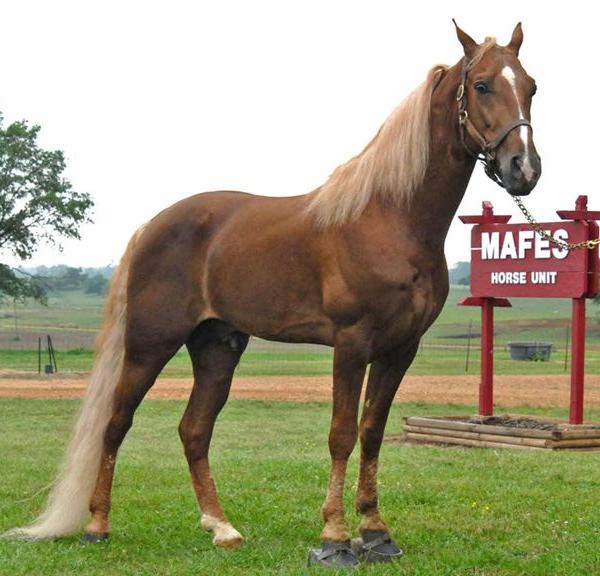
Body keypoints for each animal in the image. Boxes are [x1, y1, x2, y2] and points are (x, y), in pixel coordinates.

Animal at [5, 21, 540, 568]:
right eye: (481, 86)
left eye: (531, 87)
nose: (524, 169)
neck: (390, 219)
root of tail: (151, 226)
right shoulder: (352, 345)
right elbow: (341, 435)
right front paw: (334, 538)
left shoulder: (400, 349)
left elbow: (371, 433)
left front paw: (375, 532)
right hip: (149, 345)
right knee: (116, 423)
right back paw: (97, 526)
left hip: (217, 347)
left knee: (194, 430)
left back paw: (221, 528)